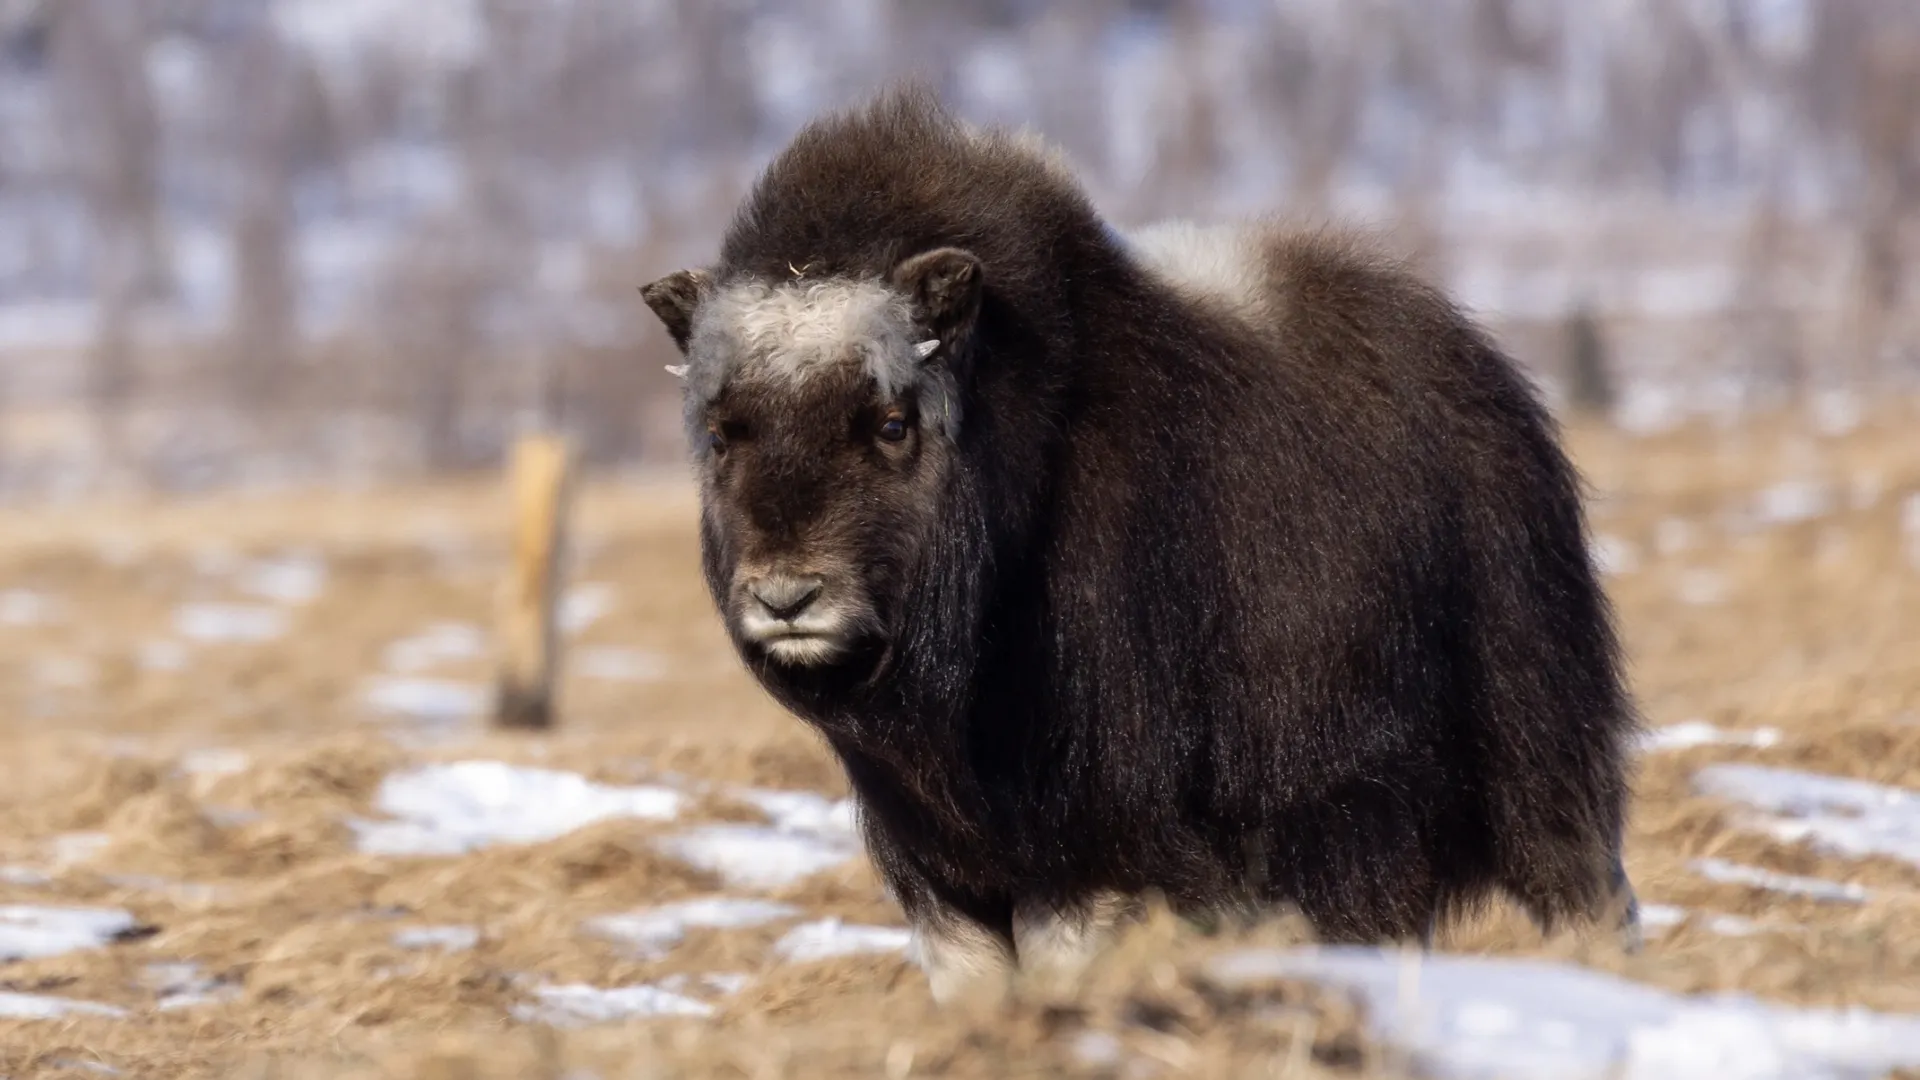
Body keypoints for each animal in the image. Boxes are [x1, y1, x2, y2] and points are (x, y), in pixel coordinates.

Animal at [641, 90, 1635, 999]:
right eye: (724, 433)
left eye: (890, 423)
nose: (786, 599)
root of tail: (1480, 367)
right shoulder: (942, 867)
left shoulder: (1099, 836)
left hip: (1517, 746)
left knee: (1573, 877)